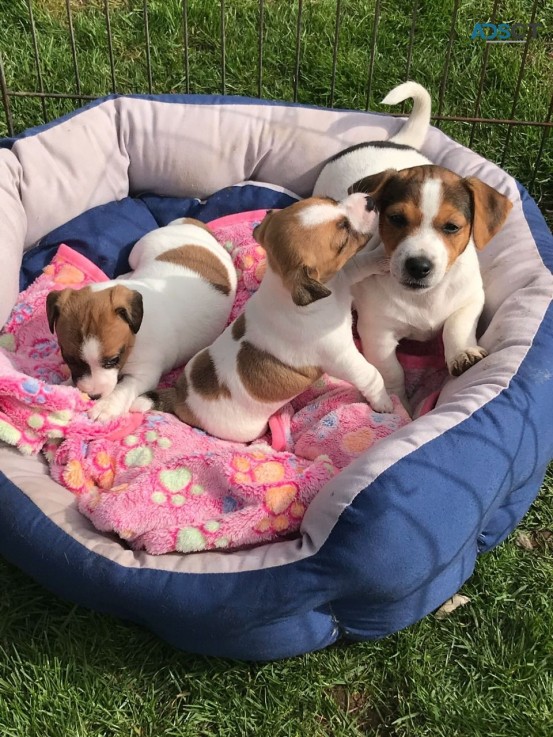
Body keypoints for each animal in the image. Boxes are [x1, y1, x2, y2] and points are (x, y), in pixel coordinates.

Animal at [46, 217, 236, 420]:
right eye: (68, 358)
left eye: (113, 360)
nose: (93, 395)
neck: (135, 336)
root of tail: (192, 224)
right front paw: (67, 385)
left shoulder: (144, 374)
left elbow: (123, 388)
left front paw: (106, 406)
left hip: (138, 249)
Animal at [142, 194, 392, 442]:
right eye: (343, 236)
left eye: (330, 200)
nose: (370, 201)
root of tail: (178, 397)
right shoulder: (341, 356)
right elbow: (371, 375)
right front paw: (384, 401)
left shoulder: (342, 277)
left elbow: (358, 265)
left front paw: (382, 259)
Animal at [312, 85, 512, 414]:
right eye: (396, 219)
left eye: (452, 227)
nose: (418, 267)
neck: (423, 298)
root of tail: (393, 142)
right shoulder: (377, 333)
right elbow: (392, 370)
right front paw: (399, 403)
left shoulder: (471, 299)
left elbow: (456, 326)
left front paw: (463, 354)